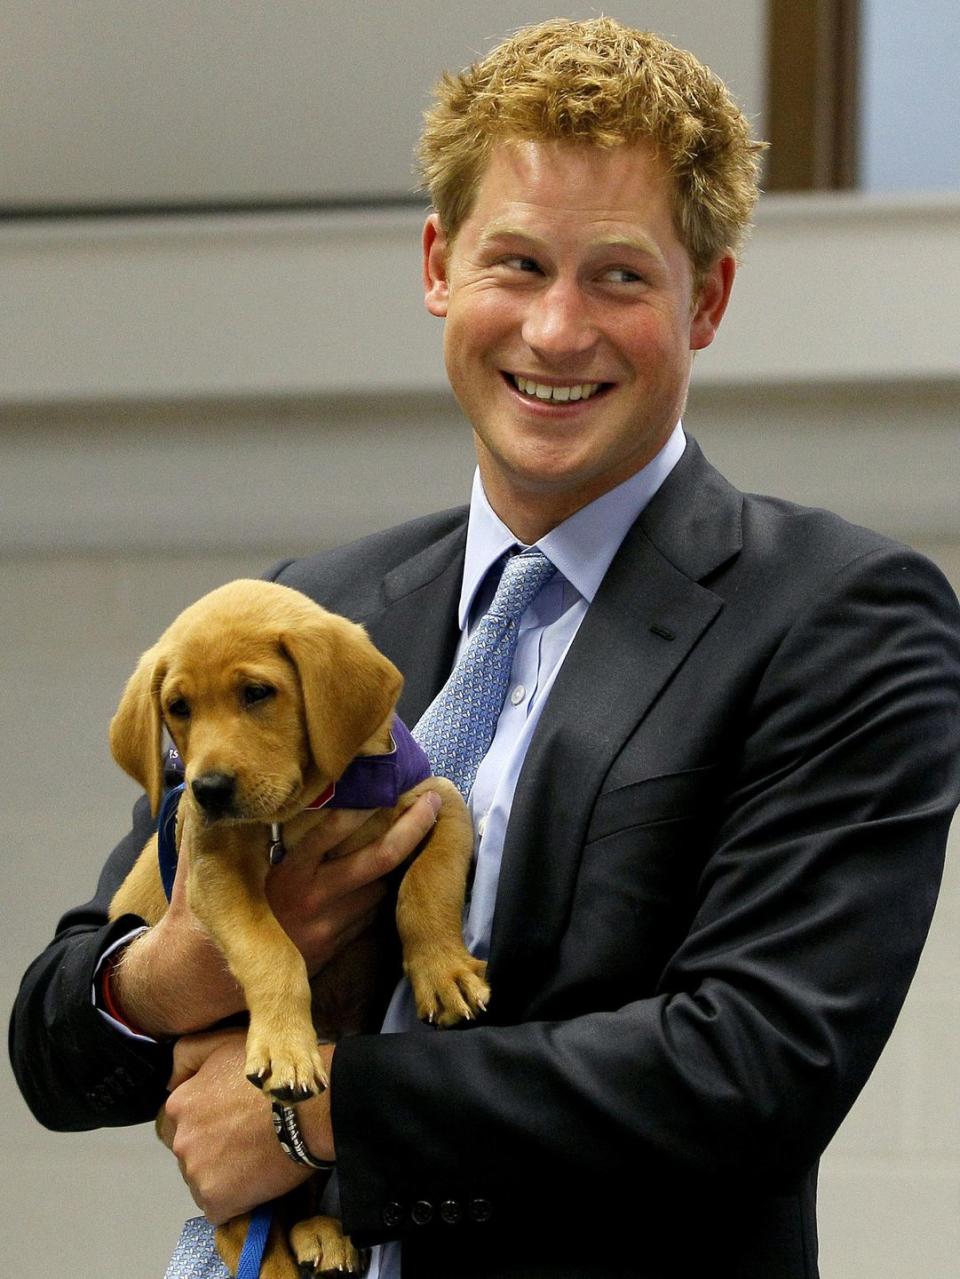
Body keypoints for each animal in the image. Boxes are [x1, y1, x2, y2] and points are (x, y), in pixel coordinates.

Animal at [106, 583, 488, 1279]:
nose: (206, 789)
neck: (307, 807)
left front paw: (444, 973)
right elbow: (272, 950)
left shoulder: (436, 800)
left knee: (296, 1195)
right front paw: (286, 1047)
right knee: (240, 1226)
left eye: (257, 693)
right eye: (178, 708)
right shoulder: (215, 871)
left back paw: (323, 1234)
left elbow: (426, 887)